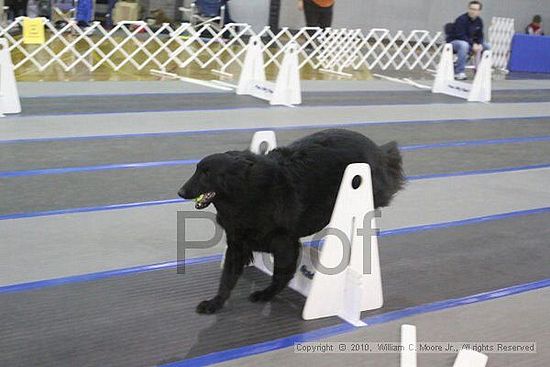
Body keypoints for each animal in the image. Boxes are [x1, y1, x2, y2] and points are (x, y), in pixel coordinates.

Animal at [179, 129, 408, 314]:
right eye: (197, 169)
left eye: (206, 173)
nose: (180, 192)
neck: (247, 193)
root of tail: (377, 150)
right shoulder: (237, 245)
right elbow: (226, 280)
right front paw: (215, 303)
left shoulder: (285, 244)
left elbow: (281, 275)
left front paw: (265, 294)